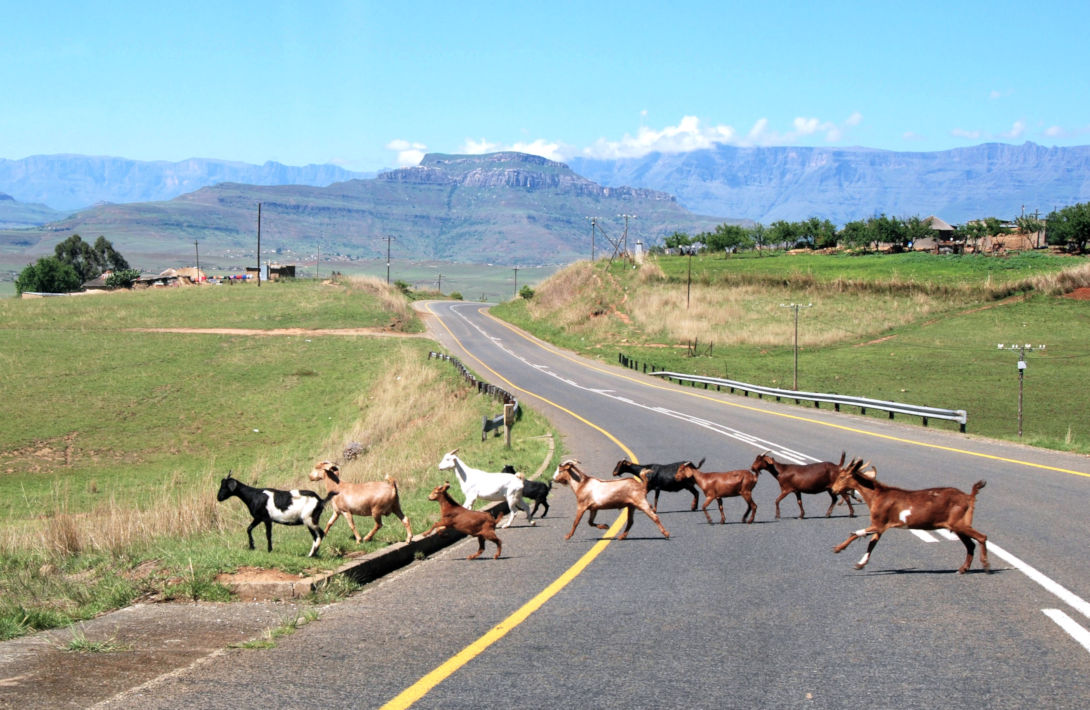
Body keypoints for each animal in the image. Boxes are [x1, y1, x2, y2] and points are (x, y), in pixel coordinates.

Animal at [828, 458, 994, 575]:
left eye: (842, 476)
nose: (834, 489)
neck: (877, 495)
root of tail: (969, 497)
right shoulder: (880, 526)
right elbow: (871, 543)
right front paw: (860, 564)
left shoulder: (879, 523)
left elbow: (856, 533)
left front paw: (838, 548)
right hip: (958, 525)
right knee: (970, 544)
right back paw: (962, 569)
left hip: (959, 523)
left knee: (982, 537)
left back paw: (985, 565)